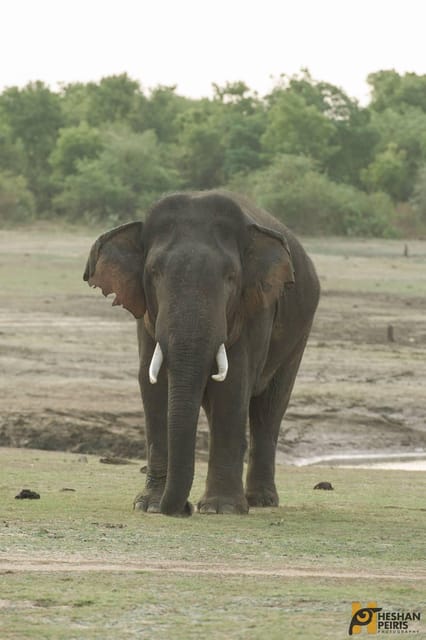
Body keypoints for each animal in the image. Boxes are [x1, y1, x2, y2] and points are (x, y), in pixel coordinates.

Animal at [83, 190, 320, 516]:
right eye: (154, 273)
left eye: (231, 276)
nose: (184, 508)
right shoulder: (146, 315)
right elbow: (153, 385)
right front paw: (149, 505)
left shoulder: (254, 309)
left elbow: (232, 386)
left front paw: (221, 509)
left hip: (299, 334)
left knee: (269, 408)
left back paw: (260, 501)